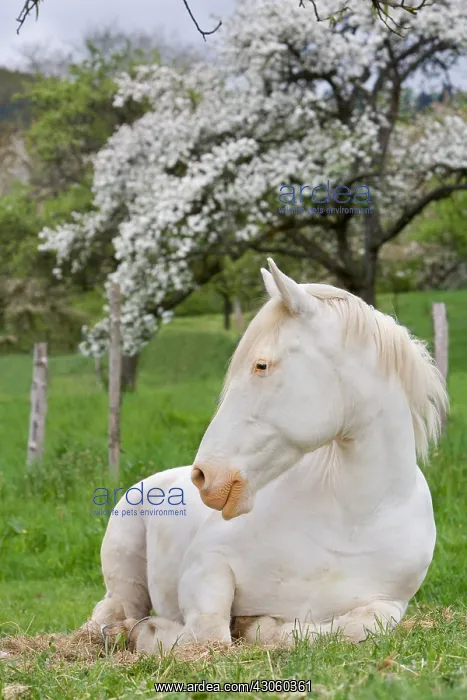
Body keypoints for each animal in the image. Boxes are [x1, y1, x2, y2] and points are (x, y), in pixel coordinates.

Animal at [85, 259, 448, 653]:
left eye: (261, 365)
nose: (205, 476)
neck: (352, 521)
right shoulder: (207, 564)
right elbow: (209, 633)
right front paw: (150, 633)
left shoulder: (390, 605)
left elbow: (353, 627)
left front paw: (259, 626)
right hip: (125, 573)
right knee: (113, 610)